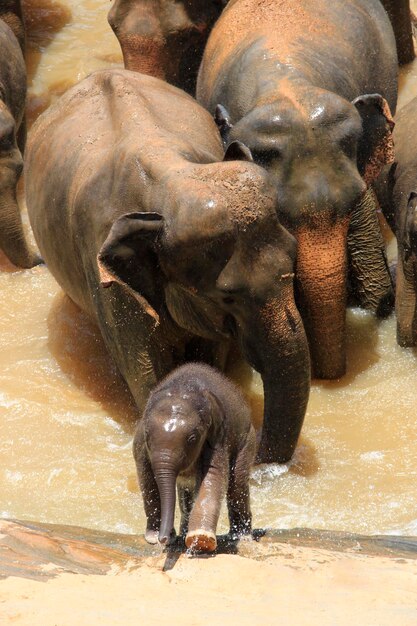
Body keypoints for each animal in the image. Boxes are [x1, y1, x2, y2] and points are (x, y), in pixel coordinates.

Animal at [24, 69, 310, 464]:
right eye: (228, 297)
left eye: (294, 257)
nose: (258, 459)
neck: (169, 176)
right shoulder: (109, 279)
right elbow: (146, 368)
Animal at [135, 360, 255, 552]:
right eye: (147, 434)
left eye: (192, 439)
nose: (165, 538)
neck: (182, 387)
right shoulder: (140, 442)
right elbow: (147, 478)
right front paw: (153, 537)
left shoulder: (218, 435)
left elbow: (213, 475)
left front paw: (201, 540)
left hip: (247, 440)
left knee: (237, 485)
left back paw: (241, 536)